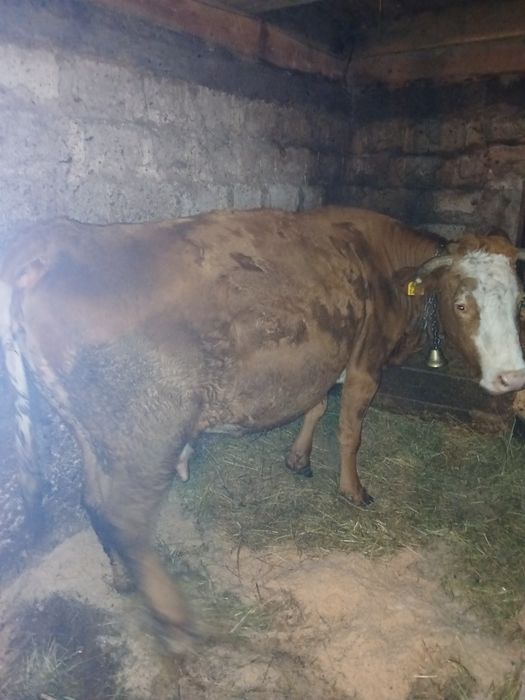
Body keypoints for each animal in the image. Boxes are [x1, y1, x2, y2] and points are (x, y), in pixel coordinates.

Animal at [1, 206, 524, 637]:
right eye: (462, 303)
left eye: (519, 301)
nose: (512, 376)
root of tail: (54, 236)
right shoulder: (366, 361)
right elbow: (350, 429)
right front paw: (352, 491)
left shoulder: (326, 357)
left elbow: (316, 406)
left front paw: (299, 459)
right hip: (147, 436)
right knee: (125, 519)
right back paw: (175, 617)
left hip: (91, 432)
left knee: (93, 503)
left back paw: (122, 577)